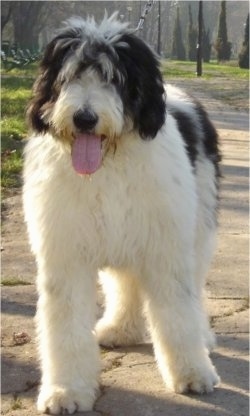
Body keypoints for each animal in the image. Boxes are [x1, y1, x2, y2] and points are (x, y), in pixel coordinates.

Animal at [23, 13, 221, 416]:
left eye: (113, 78)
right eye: (70, 75)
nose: (84, 118)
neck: (107, 165)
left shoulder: (165, 244)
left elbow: (178, 311)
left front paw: (193, 372)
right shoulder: (66, 252)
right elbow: (65, 325)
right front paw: (66, 391)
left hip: (196, 228)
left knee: (194, 286)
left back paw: (203, 336)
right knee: (126, 283)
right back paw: (120, 329)